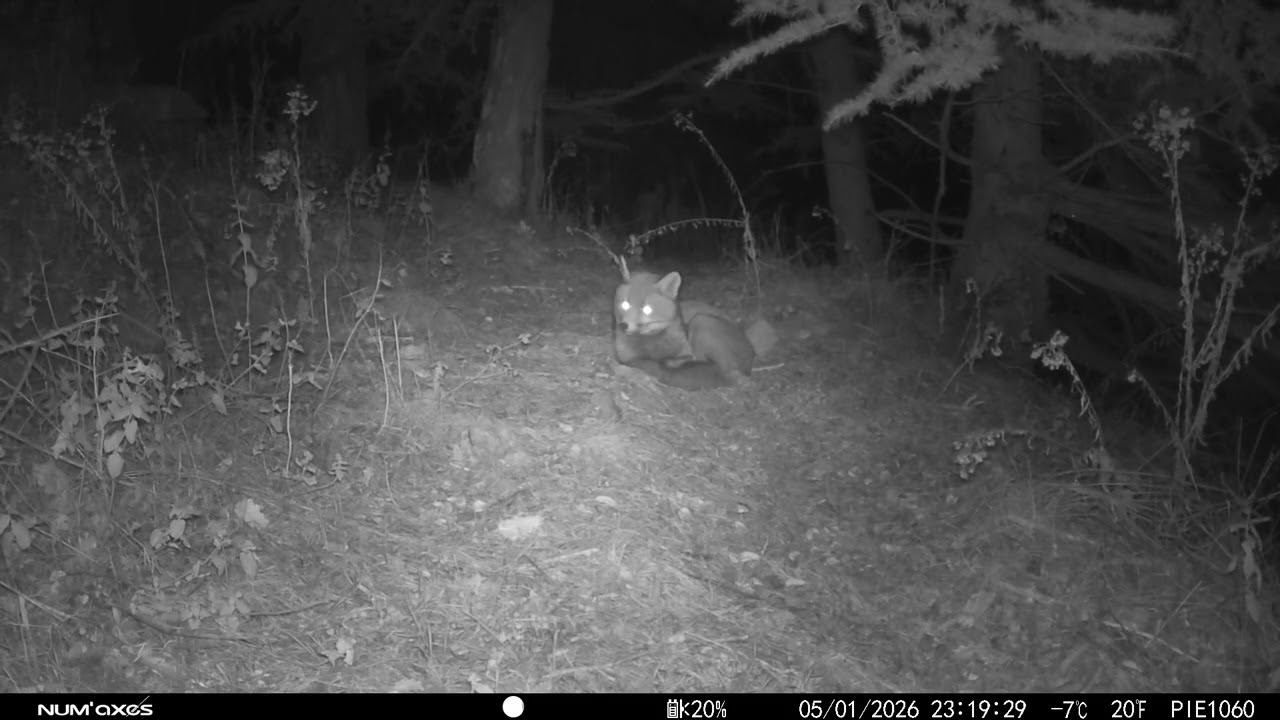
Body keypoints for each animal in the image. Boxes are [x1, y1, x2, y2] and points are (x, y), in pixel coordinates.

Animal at [612, 270, 769, 390]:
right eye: (625, 305)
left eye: (646, 309)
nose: (624, 325)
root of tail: (752, 354)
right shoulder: (625, 356)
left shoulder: (686, 352)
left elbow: (676, 360)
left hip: (701, 321)